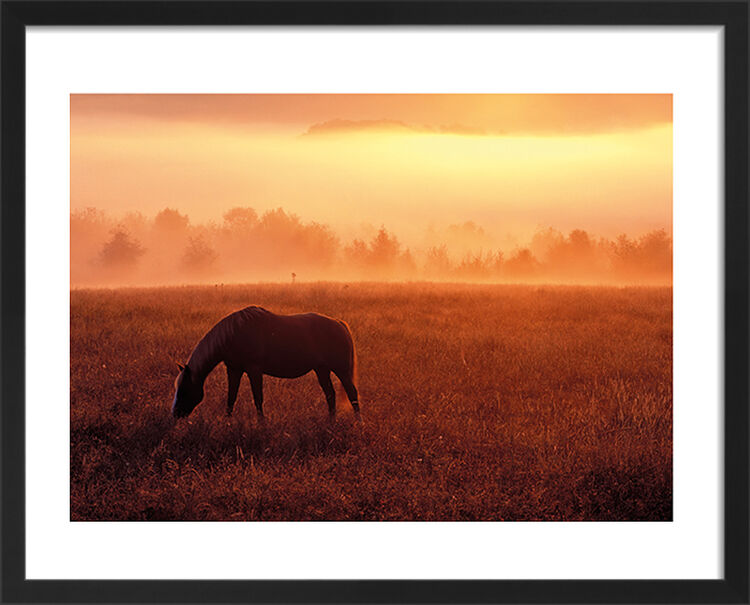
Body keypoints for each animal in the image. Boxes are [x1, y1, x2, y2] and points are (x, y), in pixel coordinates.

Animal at [171, 306, 360, 423]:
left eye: (185, 389)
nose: (175, 414)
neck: (233, 334)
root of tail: (339, 323)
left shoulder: (254, 370)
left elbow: (258, 398)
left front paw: (261, 425)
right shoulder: (234, 369)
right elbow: (231, 398)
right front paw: (227, 423)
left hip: (341, 370)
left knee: (352, 393)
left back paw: (358, 423)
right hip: (322, 370)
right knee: (330, 394)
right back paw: (330, 422)